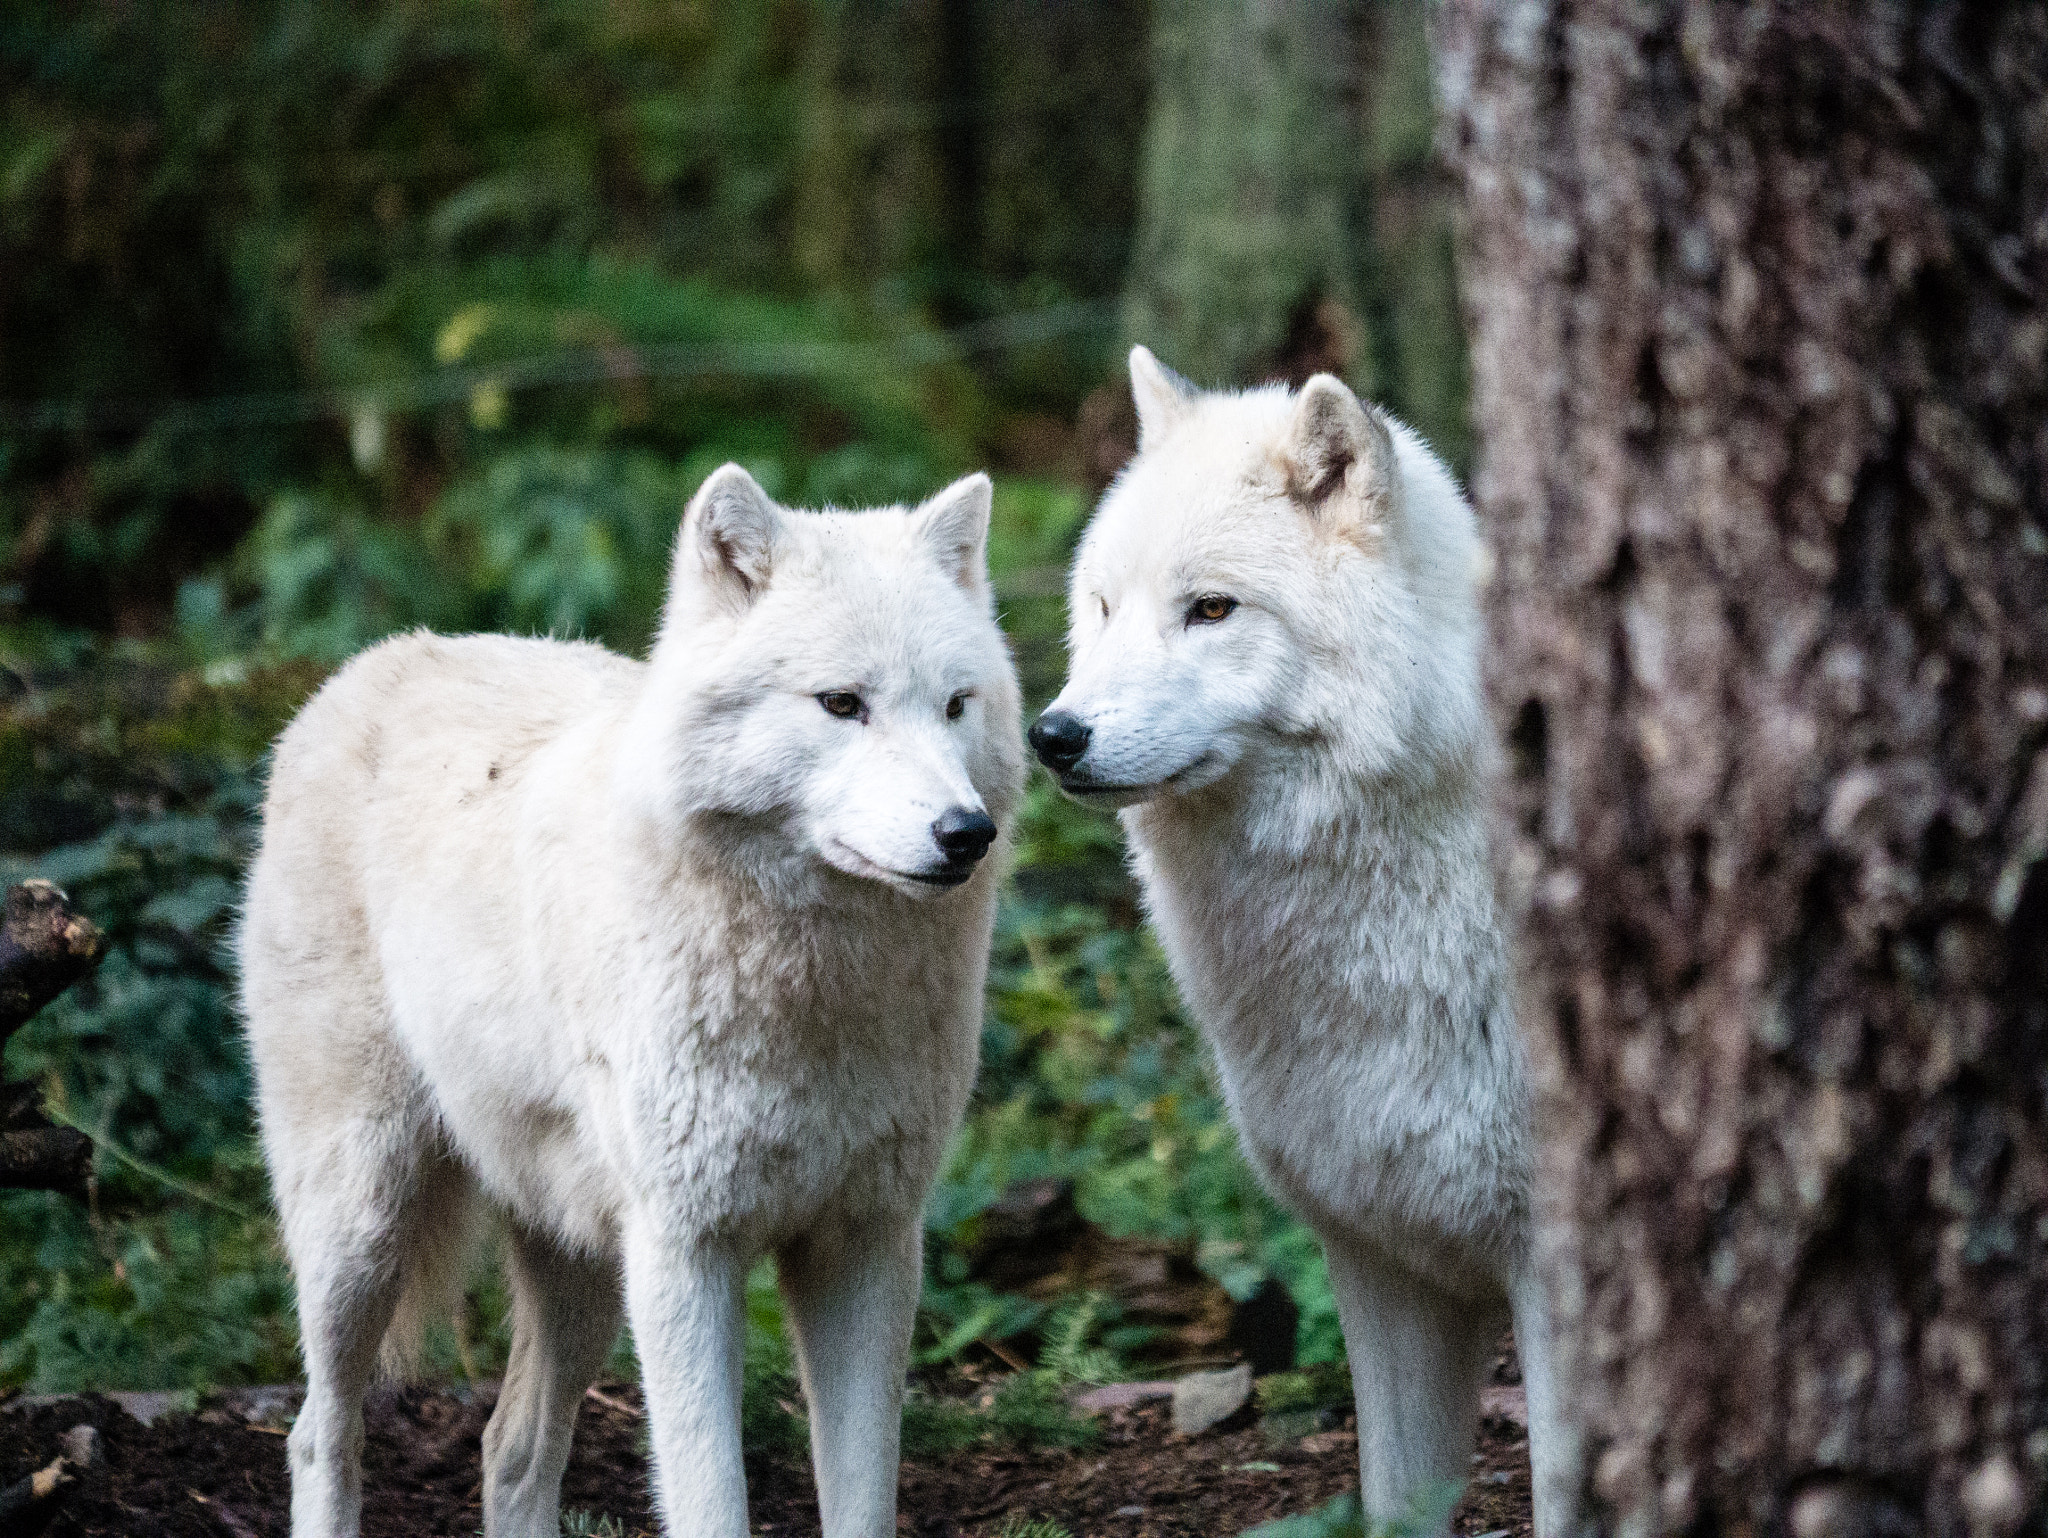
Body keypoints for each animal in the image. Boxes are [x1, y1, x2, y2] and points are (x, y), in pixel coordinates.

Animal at [239, 464, 1024, 1538]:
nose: (964, 832)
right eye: (842, 704)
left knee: (509, 1451)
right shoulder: (685, 1254)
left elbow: (863, 1500)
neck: (813, 992)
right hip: (363, 1222)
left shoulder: (867, 1244)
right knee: (319, 1433)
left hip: (581, 1267)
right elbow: (708, 1499)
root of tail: (377, 659)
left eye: (954, 705)